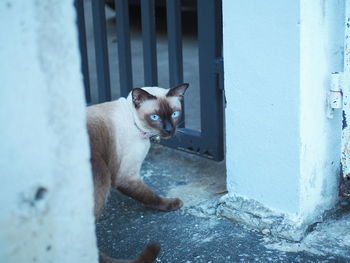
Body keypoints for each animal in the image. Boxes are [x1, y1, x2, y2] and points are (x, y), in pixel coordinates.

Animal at [87, 83, 189, 262]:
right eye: (154, 117)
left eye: (175, 114)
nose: (169, 130)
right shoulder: (127, 177)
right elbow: (150, 196)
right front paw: (172, 204)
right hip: (103, 175)